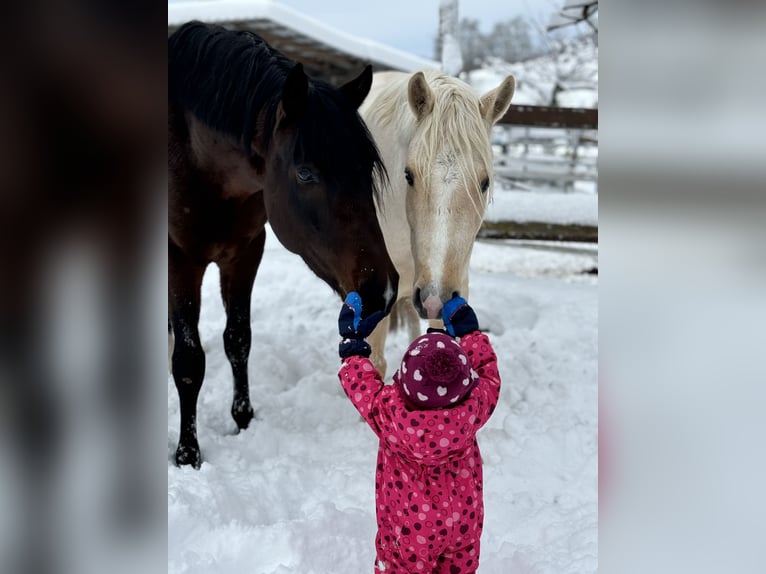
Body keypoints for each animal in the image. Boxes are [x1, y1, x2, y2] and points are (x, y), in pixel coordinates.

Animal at [166, 23, 396, 472]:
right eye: (305, 173)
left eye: (367, 169)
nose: (382, 290)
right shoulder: (180, 261)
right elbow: (188, 361)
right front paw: (187, 455)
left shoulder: (244, 254)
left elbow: (238, 340)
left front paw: (243, 419)